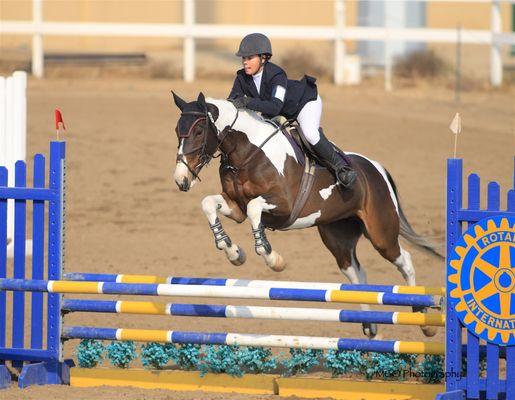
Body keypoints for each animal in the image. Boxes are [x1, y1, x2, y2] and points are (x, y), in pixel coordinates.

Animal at [171, 91, 442, 338]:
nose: (181, 180)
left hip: (381, 233)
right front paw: (233, 252)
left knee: (405, 260)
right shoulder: (235, 207)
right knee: (356, 273)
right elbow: (209, 204)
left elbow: (254, 209)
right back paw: (369, 326)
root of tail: (376, 168)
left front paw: (272, 258)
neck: (248, 152)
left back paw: (424, 321)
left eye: (198, 132)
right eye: (177, 131)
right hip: (338, 237)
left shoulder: (283, 204)